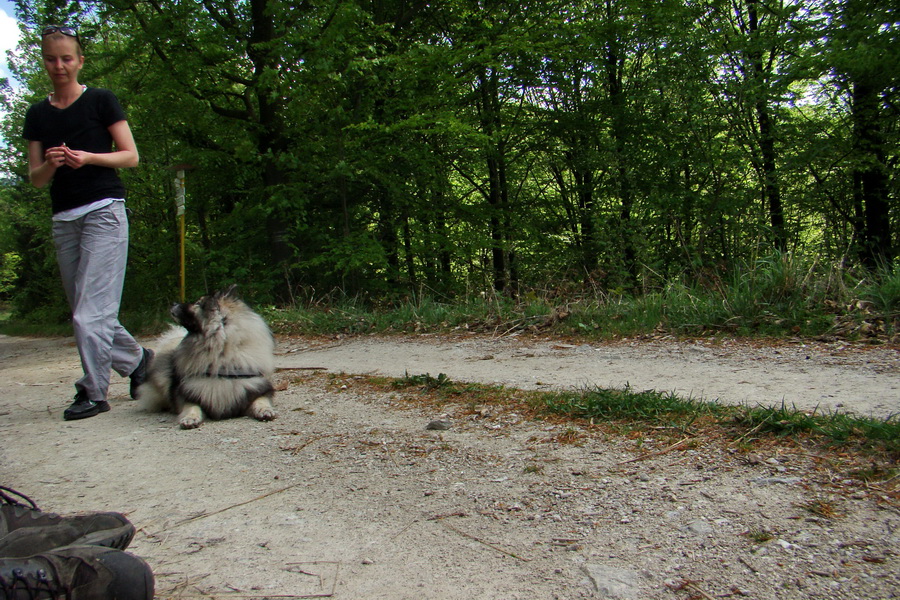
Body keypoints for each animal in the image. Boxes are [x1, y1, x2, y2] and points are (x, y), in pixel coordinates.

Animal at [135, 284, 276, 426]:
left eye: (198, 303)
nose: (174, 303)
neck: (222, 353)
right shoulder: (189, 393)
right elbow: (192, 406)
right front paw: (190, 418)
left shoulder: (256, 388)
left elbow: (261, 400)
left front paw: (265, 410)